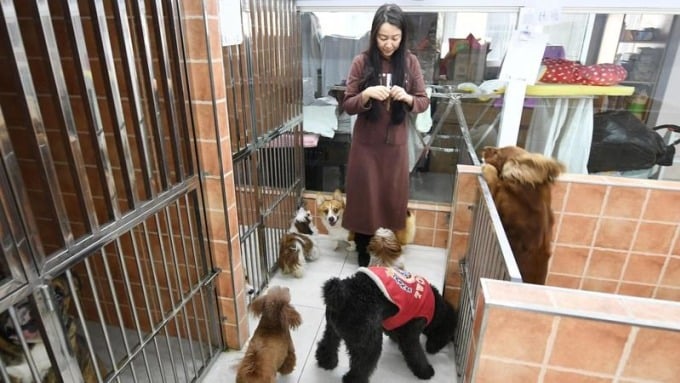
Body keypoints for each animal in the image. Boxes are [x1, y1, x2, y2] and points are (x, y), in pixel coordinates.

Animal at [314, 268, 456, 383]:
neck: (436, 308)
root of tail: (343, 294)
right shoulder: (410, 334)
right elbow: (416, 354)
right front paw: (425, 371)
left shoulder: (391, 323)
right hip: (369, 342)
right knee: (362, 364)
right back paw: (353, 379)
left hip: (332, 329)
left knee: (328, 344)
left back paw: (326, 362)